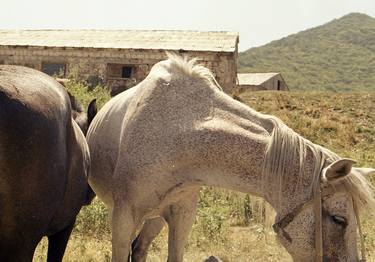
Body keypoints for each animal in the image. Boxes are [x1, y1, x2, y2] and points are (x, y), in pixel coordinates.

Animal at [88, 52, 375, 260]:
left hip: (155, 219)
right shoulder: (123, 217)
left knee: (140, 249)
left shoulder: (181, 215)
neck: (178, 132)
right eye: (339, 219)